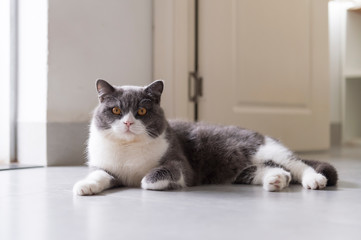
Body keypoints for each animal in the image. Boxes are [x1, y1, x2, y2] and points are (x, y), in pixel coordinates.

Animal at [73, 79, 338, 196]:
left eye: (142, 112)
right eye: (116, 111)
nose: (128, 123)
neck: (128, 149)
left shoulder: (179, 163)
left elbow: (150, 179)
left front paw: (148, 181)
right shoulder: (105, 166)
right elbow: (99, 175)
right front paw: (84, 186)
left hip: (264, 148)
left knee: (298, 164)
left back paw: (314, 180)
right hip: (241, 168)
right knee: (271, 169)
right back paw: (277, 180)